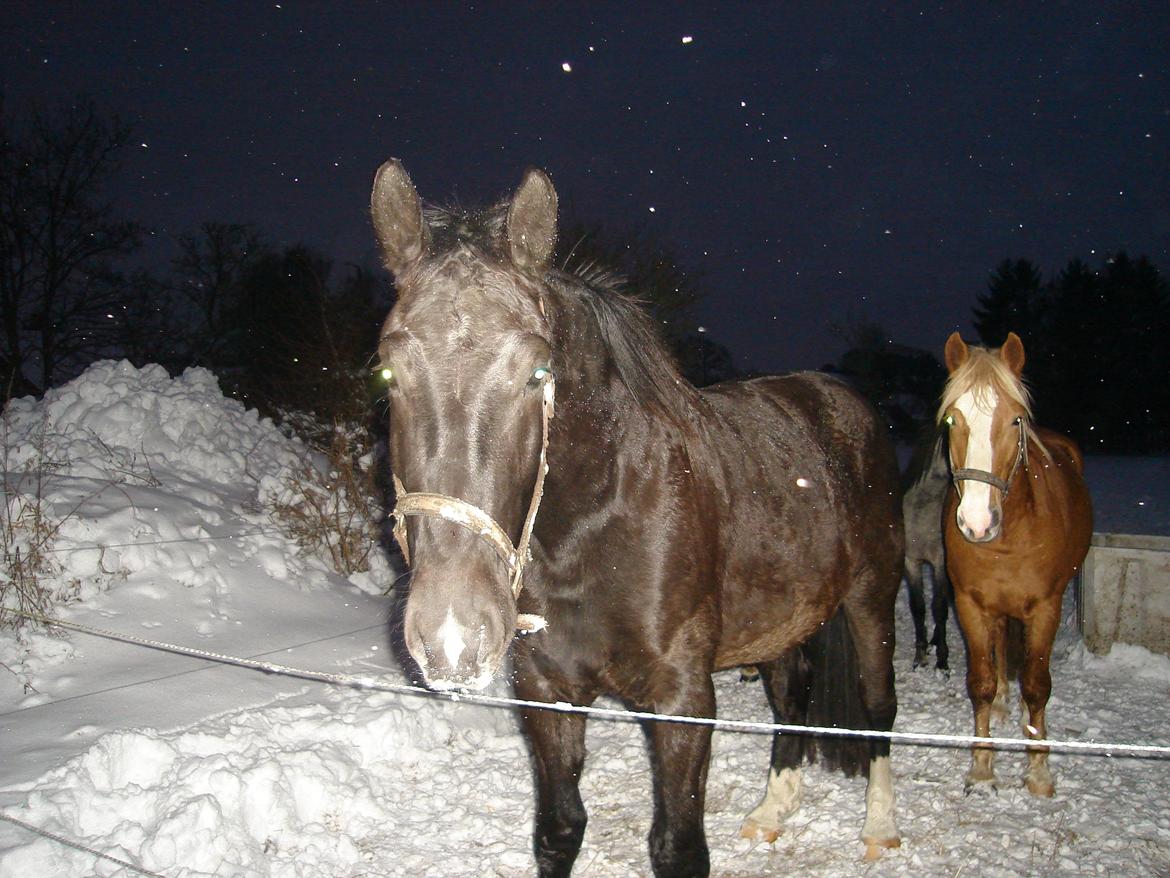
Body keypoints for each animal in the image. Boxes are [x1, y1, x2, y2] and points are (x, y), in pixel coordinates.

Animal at [369, 161, 898, 875]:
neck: (593, 527)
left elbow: (677, 847)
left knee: (877, 707)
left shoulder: (682, 701)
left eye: (538, 372)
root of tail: (841, 401)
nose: (454, 634)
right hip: (787, 619)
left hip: (873, 600)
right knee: (792, 697)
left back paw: (880, 827)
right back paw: (771, 811)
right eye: (387, 372)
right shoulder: (547, 693)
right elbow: (559, 830)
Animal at [935, 332, 1090, 800]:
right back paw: (1007, 702)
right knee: (1003, 647)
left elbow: (1038, 685)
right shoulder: (969, 604)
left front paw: (1038, 772)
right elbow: (981, 682)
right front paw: (982, 769)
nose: (977, 522)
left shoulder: (1046, 607)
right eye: (952, 421)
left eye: (1015, 421)